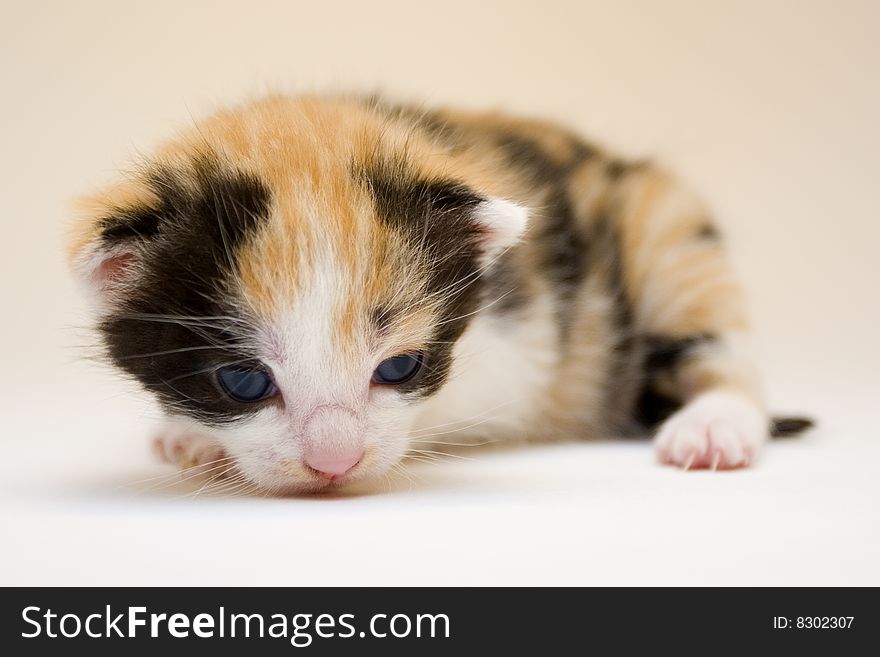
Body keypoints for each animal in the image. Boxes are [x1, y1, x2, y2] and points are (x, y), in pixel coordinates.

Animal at [67, 93, 812, 492]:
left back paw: (714, 429)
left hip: (670, 231)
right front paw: (189, 438)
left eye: (400, 367)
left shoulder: (519, 339)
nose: (333, 463)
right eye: (242, 381)